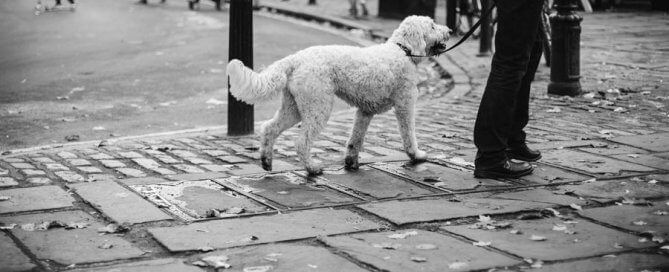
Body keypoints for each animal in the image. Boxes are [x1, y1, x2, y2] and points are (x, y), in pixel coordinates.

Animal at [227, 15, 452, 175]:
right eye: (432, 25)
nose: (450, 30)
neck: (403, 51)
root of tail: (295, 58)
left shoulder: (365, 112)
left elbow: (355, 139)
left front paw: (351, 161)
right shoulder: (405, 104)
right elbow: (409, 134)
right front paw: (416, 155)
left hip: (294, 107)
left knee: (269, 128)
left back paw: (266, 161)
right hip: (318, 106)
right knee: (301, 142)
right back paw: (312, 168)